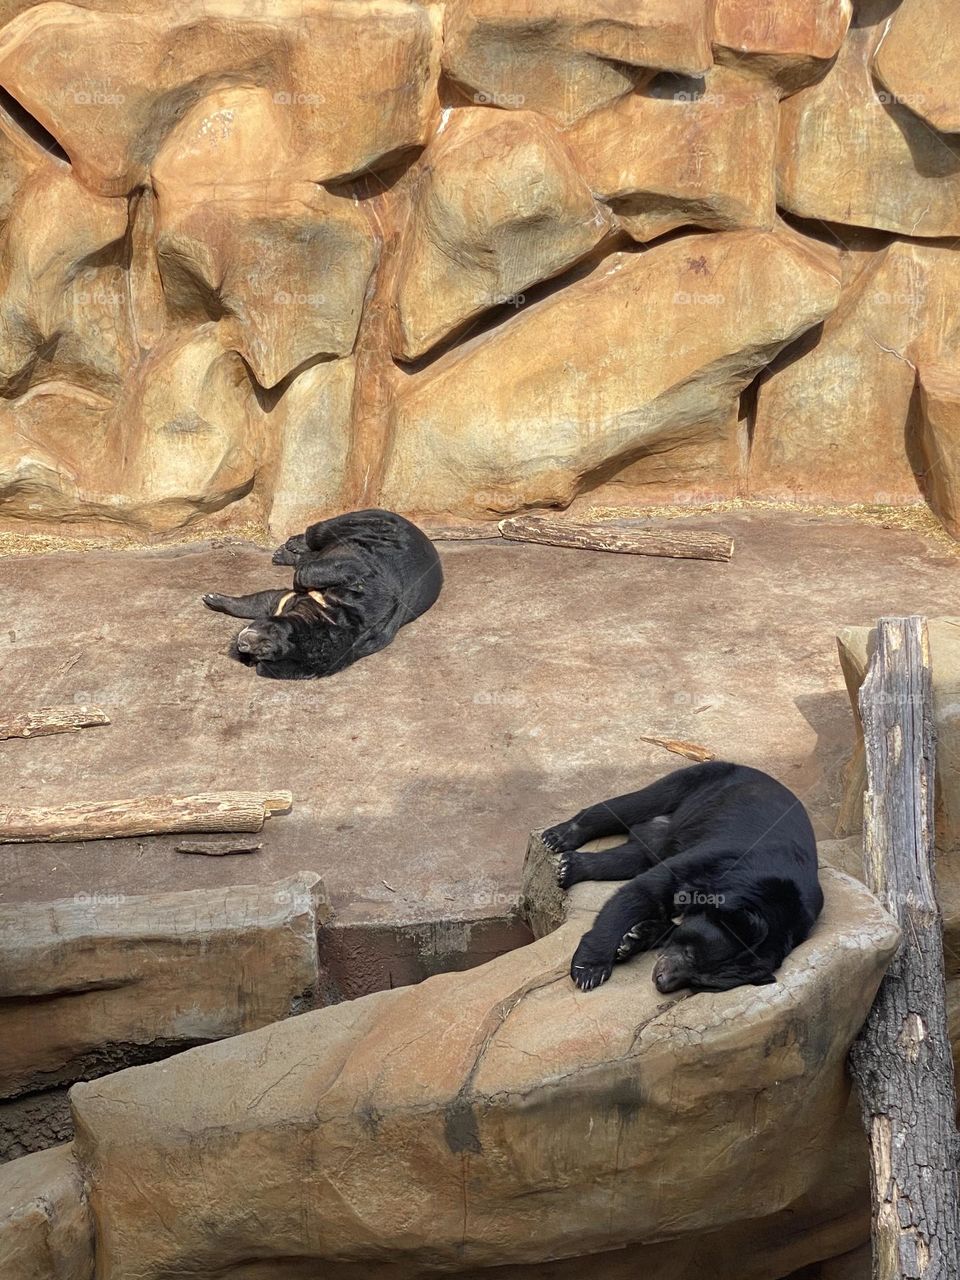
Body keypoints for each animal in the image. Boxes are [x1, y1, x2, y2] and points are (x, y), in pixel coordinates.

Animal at [202, 508, 443, 680]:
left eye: (265, 650)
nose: (243, 643)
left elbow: (270, 599)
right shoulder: (364, 584)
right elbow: (344, 570)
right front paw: (212, 599)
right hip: (365, 520)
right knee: (320, 531)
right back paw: (292, 547)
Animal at [541, 760, 823, 993]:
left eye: (700, 982)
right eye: (690, 955)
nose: (661, 981)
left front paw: (633, 938)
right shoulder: (721, 855)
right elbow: (646, 890)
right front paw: (589, 971)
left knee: (633, 856)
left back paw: (571, 868)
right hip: (698, 781)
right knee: (633, 804)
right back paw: (557, 838)